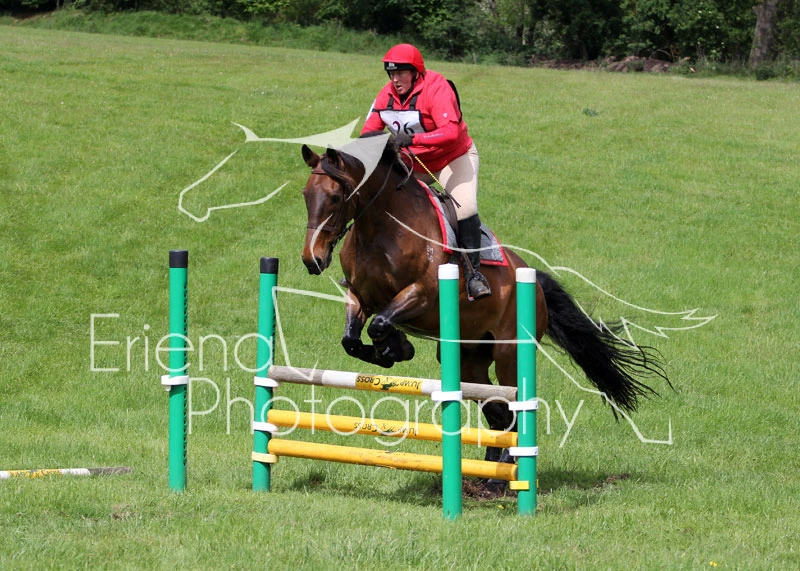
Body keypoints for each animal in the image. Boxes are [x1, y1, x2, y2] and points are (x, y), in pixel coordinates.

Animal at [299, 134, 669, 479]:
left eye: (335, 197)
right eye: (305, 195)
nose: (312, 260)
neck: (382, 227)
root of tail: (535, 282)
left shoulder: (422, 294)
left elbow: (380, 323)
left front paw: (396, 348)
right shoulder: (359, 295)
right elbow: (352, 337)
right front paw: (391, 349)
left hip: (508, 354)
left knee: (512, 406)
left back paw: (506, 464)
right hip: (470, 360)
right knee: (496, 412)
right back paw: (491, 468)